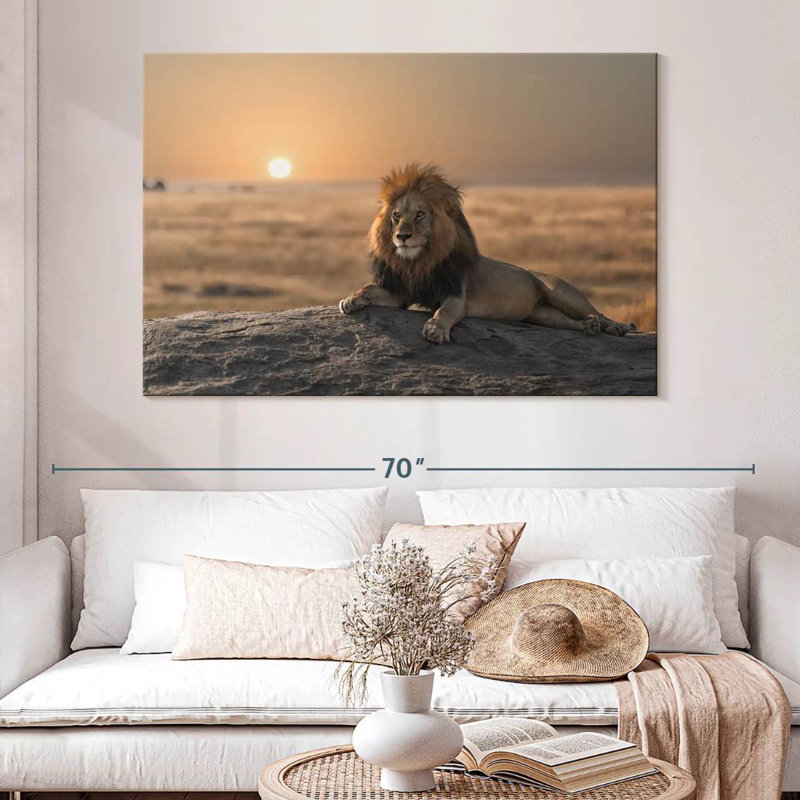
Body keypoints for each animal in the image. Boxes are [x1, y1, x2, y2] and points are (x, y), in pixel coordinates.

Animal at [339, 163, 637, 344]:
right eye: (397, 216)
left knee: (597, 311)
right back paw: (589, 327)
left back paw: (617, 327)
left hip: (560, 292)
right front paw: (351, 300)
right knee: (569, 322)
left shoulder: (456, 294)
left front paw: (435, 329)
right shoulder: (401, 292)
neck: (420, 261)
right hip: (541, 315)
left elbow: (445, 311)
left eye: (420, 215)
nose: (402, 236)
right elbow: (370, 288)